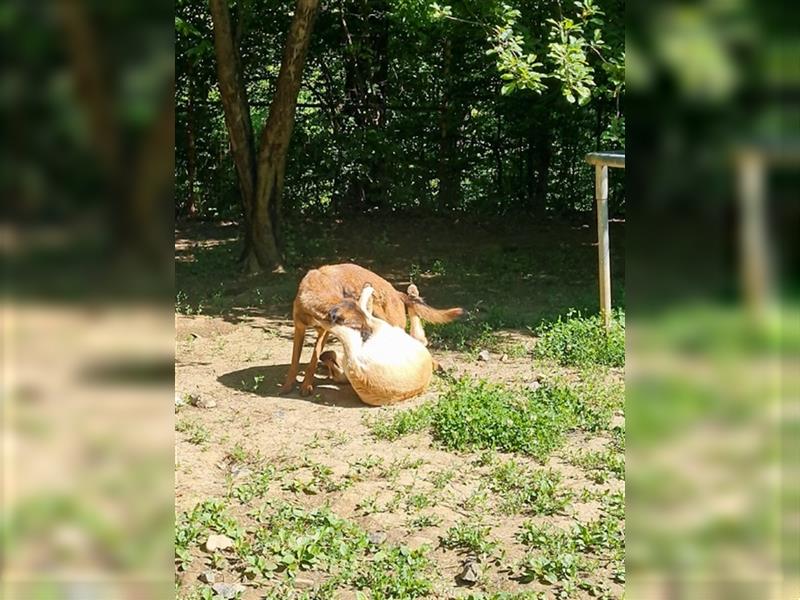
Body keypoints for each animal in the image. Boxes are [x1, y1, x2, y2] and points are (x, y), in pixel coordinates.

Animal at [284, 262, 466, 394]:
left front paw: (305, 386)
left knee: (420, 336)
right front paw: (288, 385)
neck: (316, 291)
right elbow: (294, 360)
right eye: (358, 326)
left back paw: (411, 291)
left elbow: (312, 362)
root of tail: (395, 292)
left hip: (393, 325)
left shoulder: (323, 333)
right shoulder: (299, 330)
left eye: (364, 325)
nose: (370, 336)